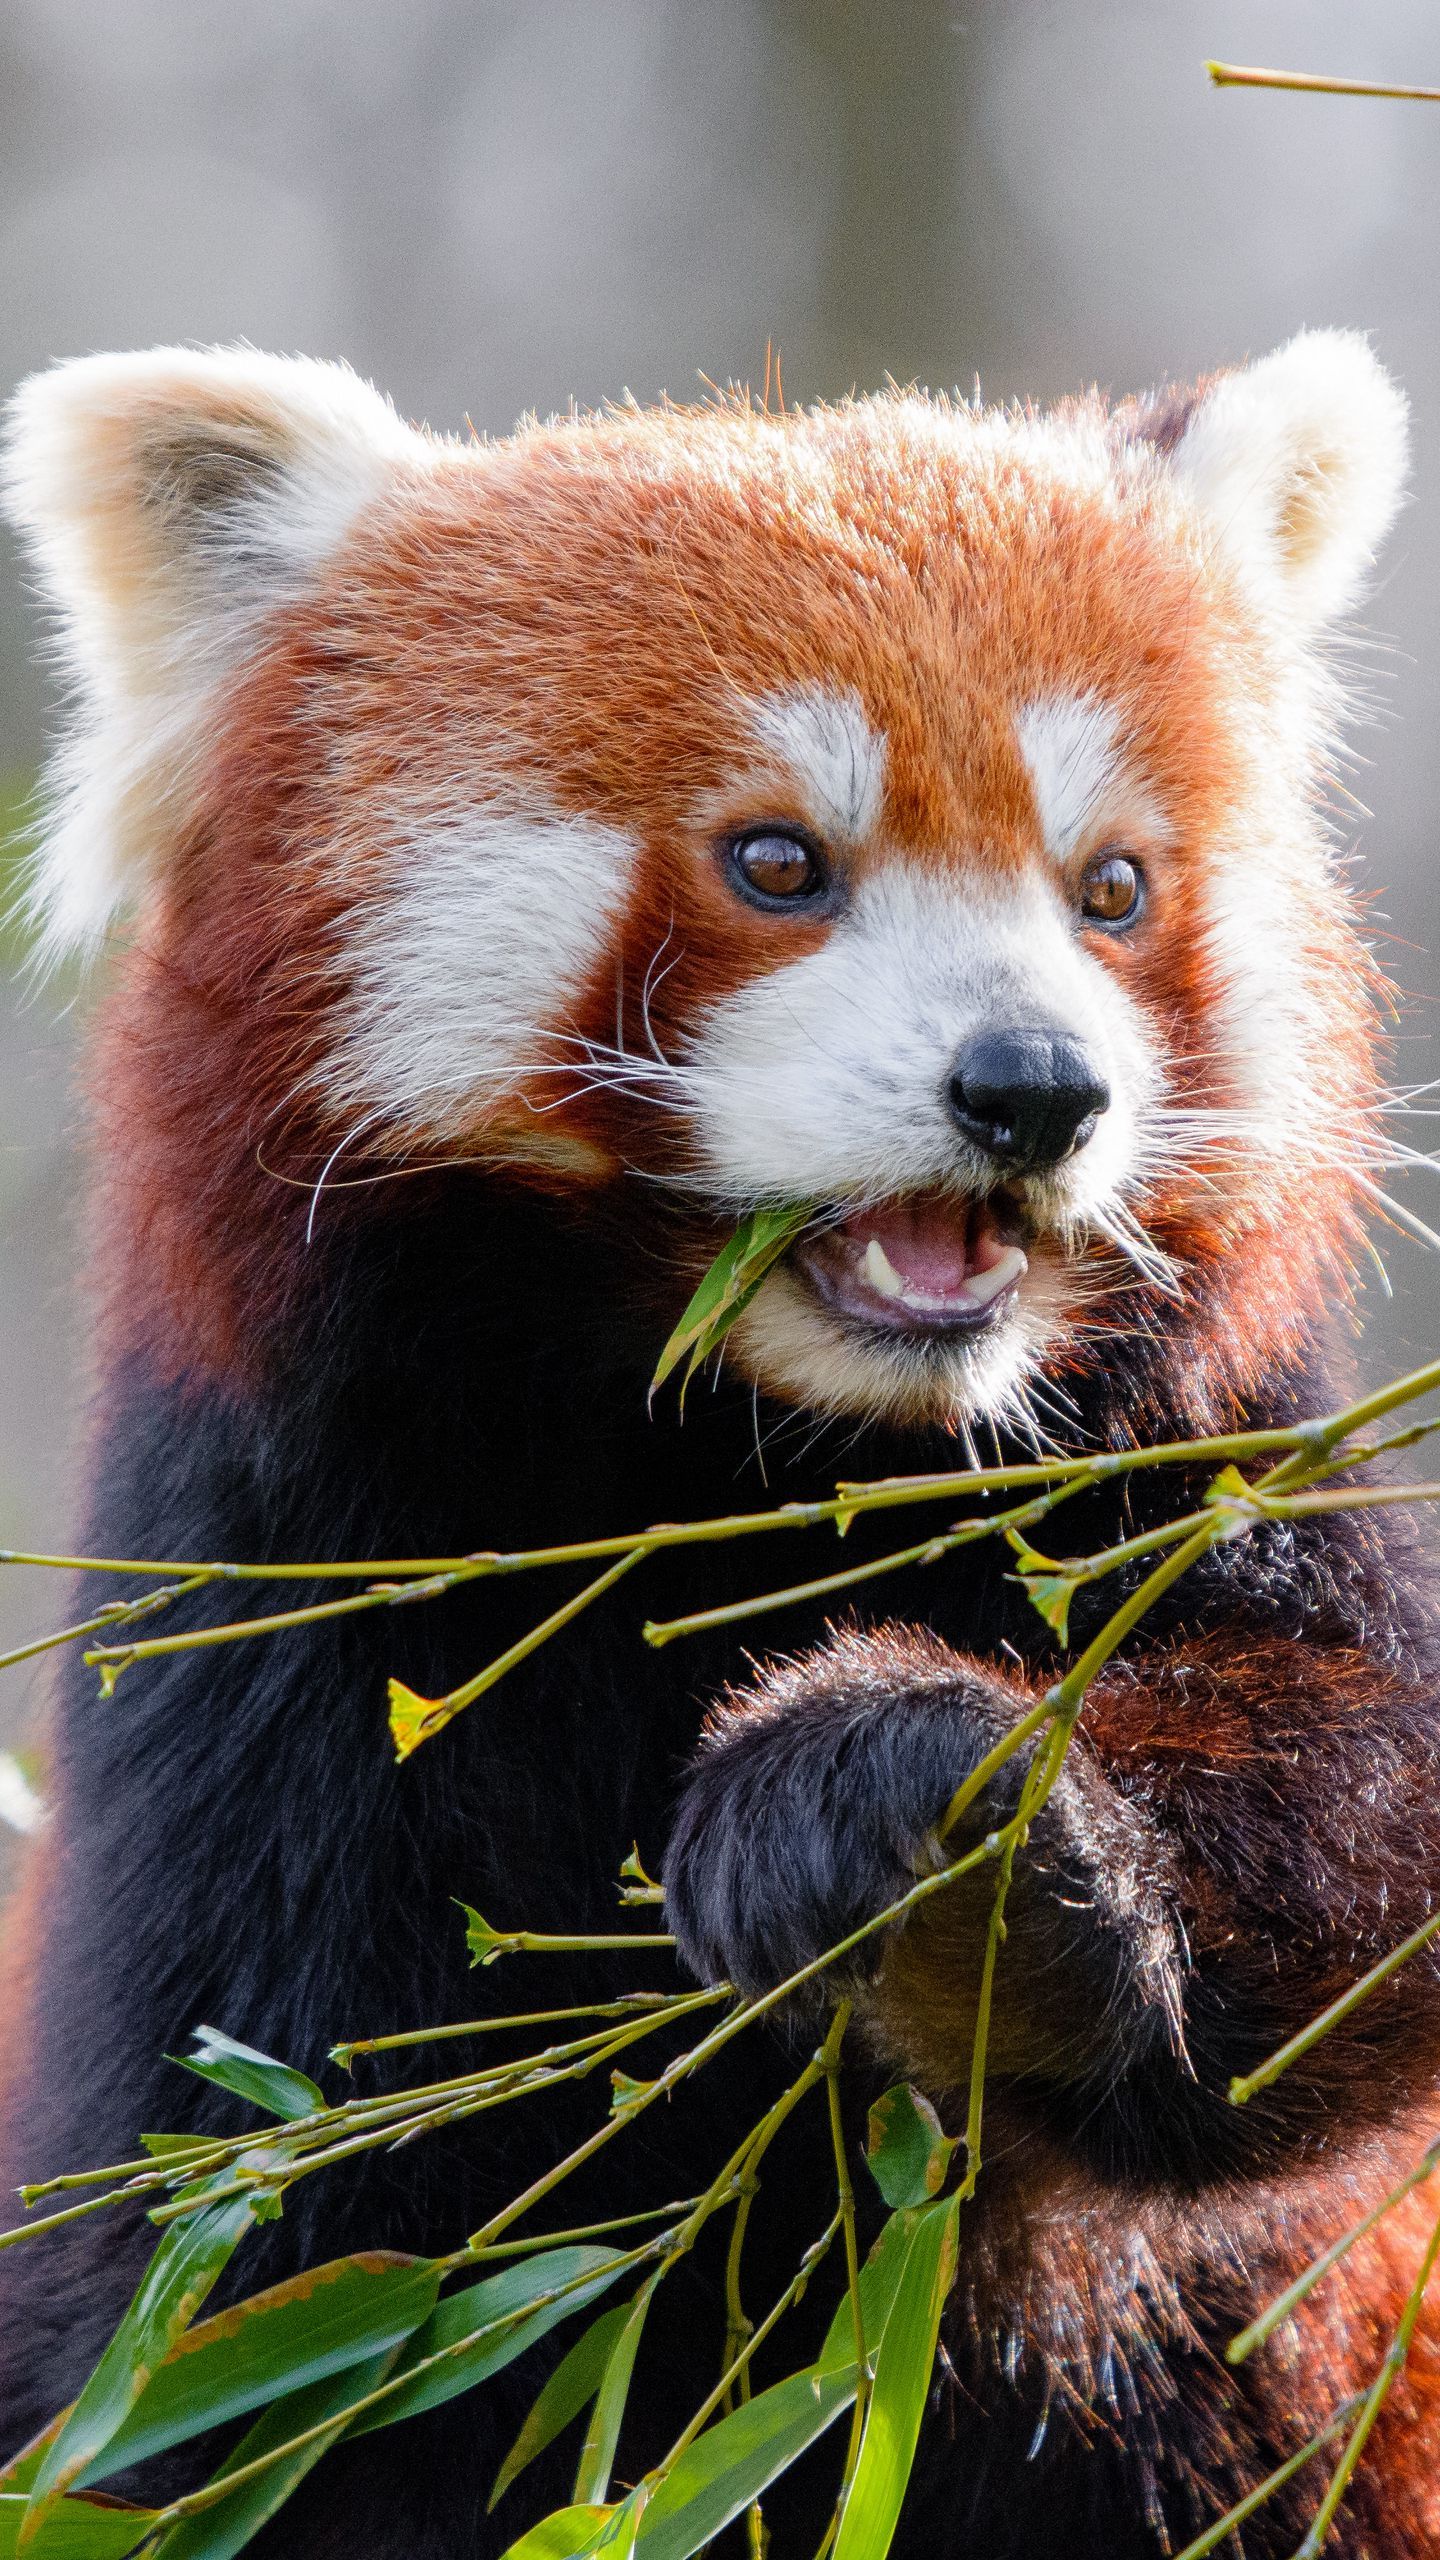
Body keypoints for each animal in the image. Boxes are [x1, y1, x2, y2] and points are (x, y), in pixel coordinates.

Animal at [0, 331, 1437, 2557]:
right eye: (778, 860)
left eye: (1111, 888)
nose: (1036, 1088)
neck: (765, 1452)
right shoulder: (283, 1664)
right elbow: (264, 2296)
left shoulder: (1217, 1477)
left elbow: (1366, 1852)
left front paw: (934, 1845)